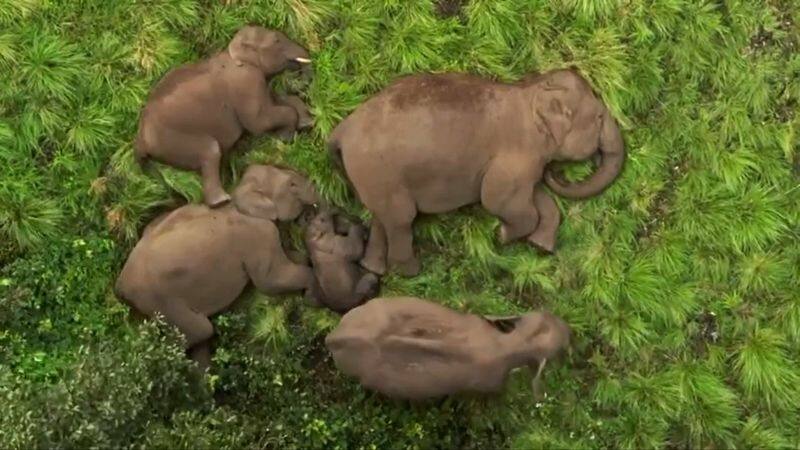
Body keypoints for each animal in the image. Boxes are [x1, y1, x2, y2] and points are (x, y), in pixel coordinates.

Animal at [115, 165, 318, 370]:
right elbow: (272, 280)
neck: (240, 194)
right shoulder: (258, 235)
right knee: (200, 330)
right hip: (159, 300)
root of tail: (120, 286)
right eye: (292, 184)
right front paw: (313, 292)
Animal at [134, 25, 312, 207]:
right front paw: (285, 138)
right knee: (210, 150)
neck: (233, 49)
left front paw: (304, 125)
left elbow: (273, 101)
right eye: (276, 40)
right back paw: (222, 201)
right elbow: (258, 123)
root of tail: (140, 139)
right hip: (173, 140)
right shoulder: (246, 81)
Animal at [328, 68, 628, 276]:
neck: (530, 92)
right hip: (379, 171)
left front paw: (539, 246)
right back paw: (411, 271)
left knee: (382, 217)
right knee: (401, 219)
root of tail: (341, 130)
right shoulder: (515, 155)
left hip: (374, 177)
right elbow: (496, 199)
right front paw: (502, 236)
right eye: (599, 117)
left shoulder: (526, 164)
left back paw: (374, 268)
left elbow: (537, 198)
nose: (557, 173)